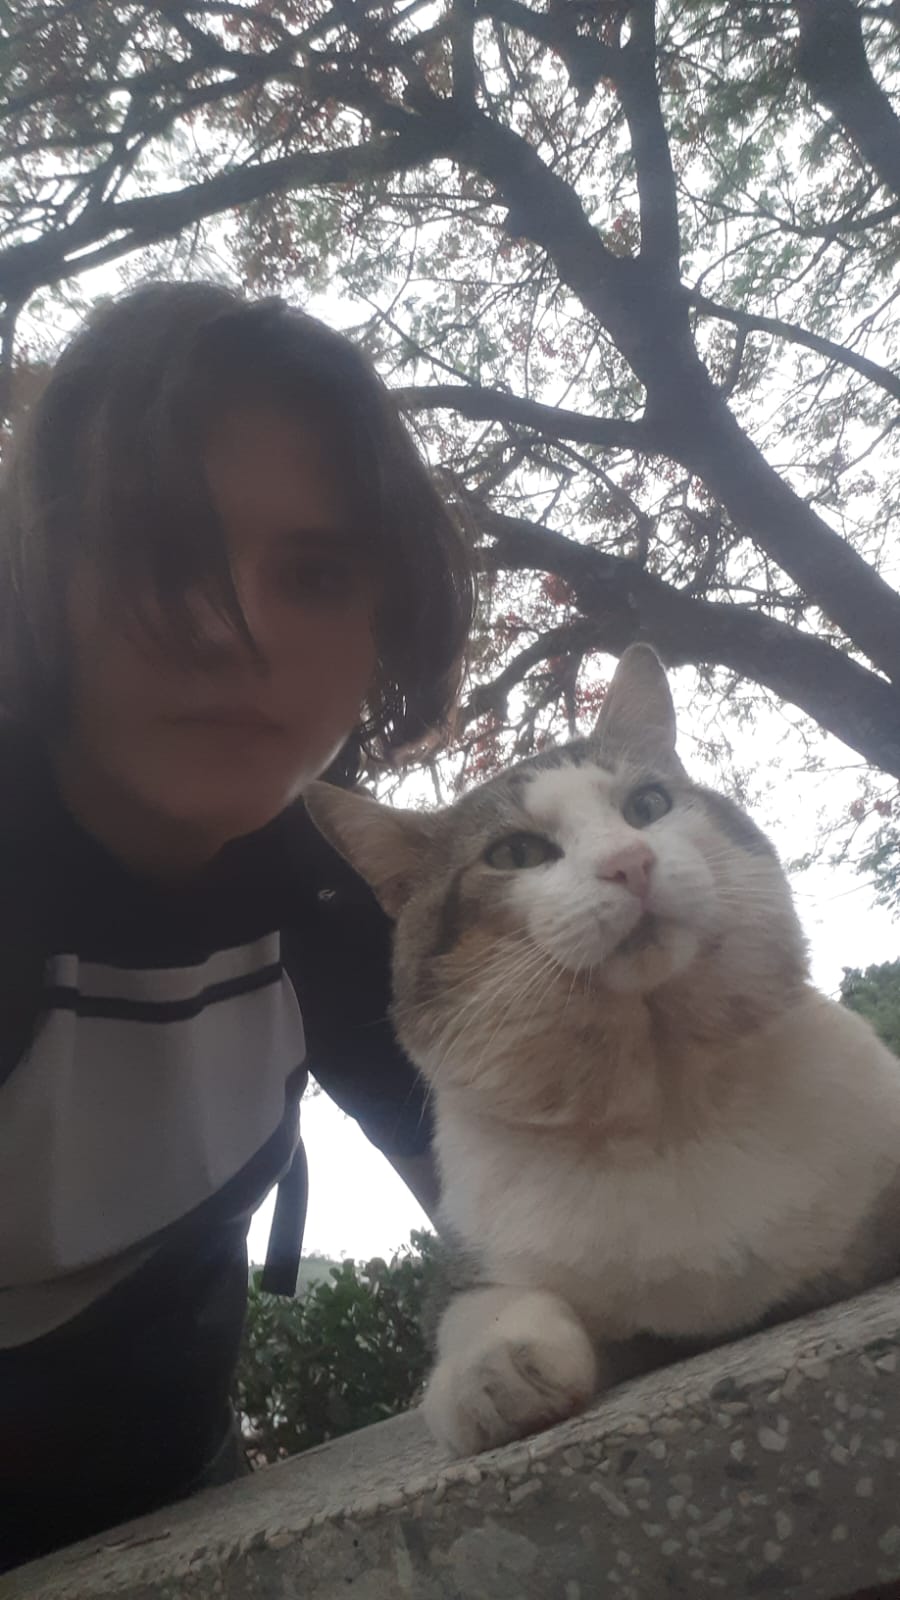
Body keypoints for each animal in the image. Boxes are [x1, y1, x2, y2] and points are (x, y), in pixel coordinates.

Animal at [306, 644, 900, 1456]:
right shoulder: (468, 1263)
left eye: (647, 807)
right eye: (516, 853)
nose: (629, 862)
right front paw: (495, 1368)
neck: (667, 1103)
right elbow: (479, 1306)